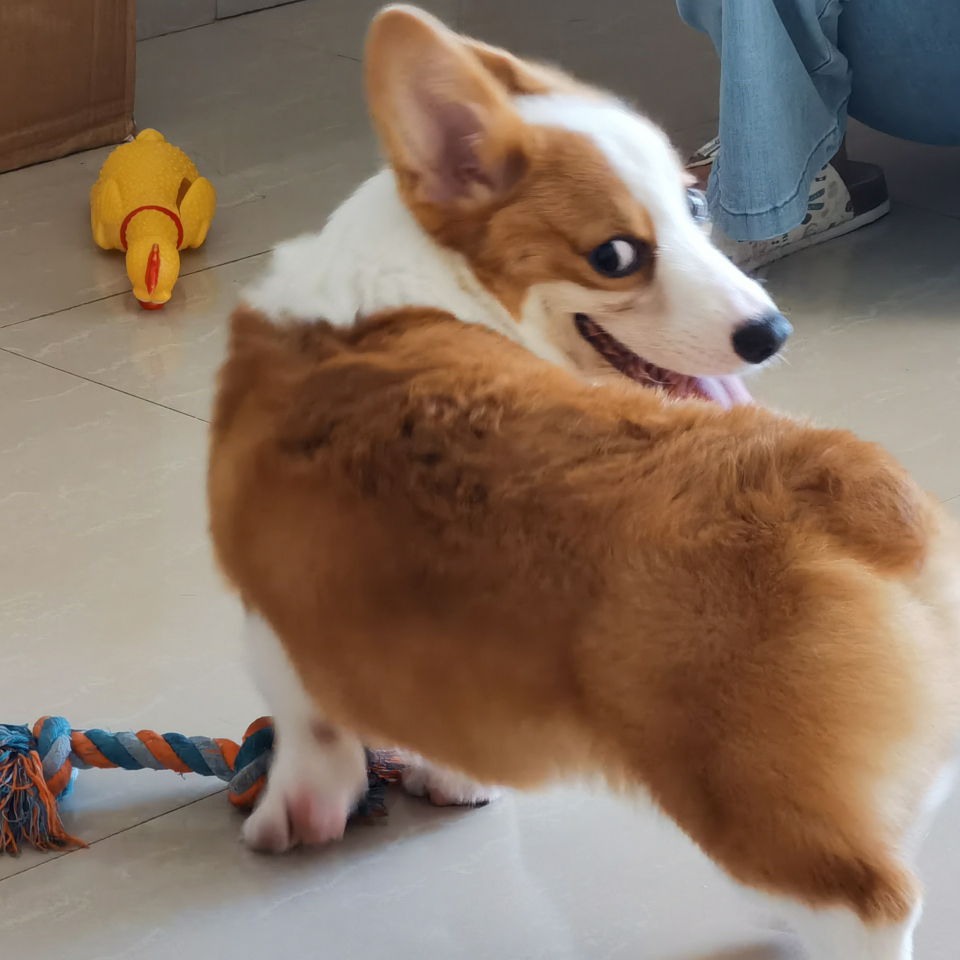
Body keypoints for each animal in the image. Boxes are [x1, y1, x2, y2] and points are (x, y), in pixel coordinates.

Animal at [209, 303, 960, 959]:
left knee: (869, 904)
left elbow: (310, 741)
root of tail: (850, 492)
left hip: (743, 788)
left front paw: (287, 820)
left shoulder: (279, 637)